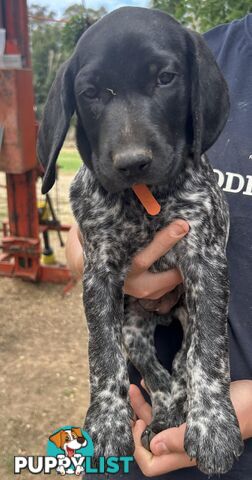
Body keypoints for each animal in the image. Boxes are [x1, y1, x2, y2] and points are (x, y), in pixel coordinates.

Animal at [36, 5, 243, 474]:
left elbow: (211, 353)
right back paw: (163, 417)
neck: (142, 200)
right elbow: (102, 352)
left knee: (184, 362)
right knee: (158, 375)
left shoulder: (207, 262)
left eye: (165, 78)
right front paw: (107, 422)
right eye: (90, 92)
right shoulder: (98, 271)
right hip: (134, 327)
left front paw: (215, 425)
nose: (132, 163)